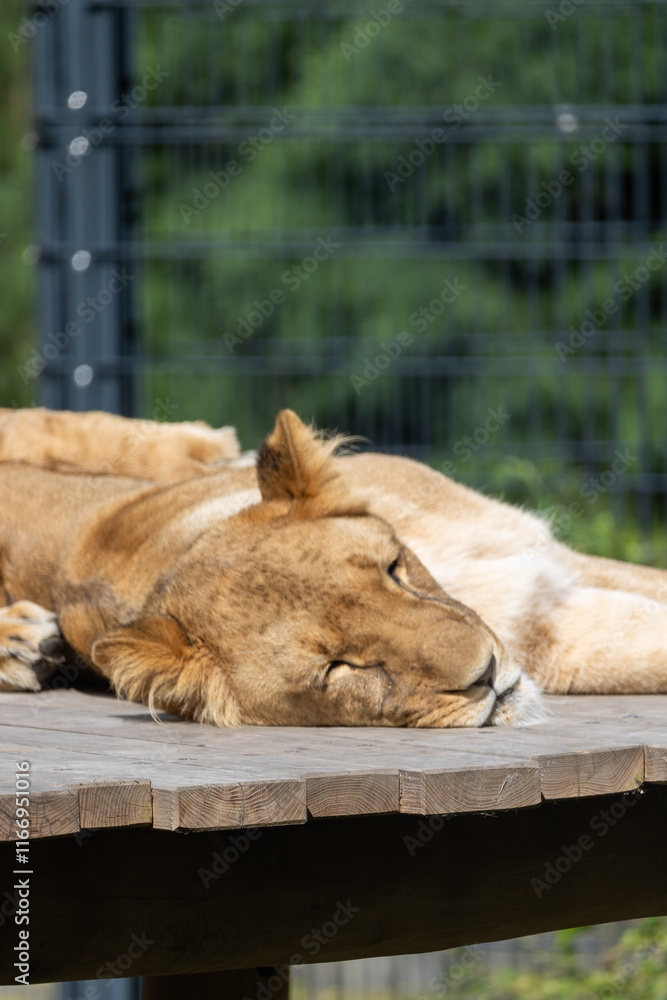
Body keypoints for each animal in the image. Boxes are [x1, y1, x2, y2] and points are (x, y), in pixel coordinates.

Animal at [1, 406, 666, 729]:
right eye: (341, 669)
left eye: (394, 570)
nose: (489, 674)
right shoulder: (557, 632)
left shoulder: (553, 571)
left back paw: (206, 444)